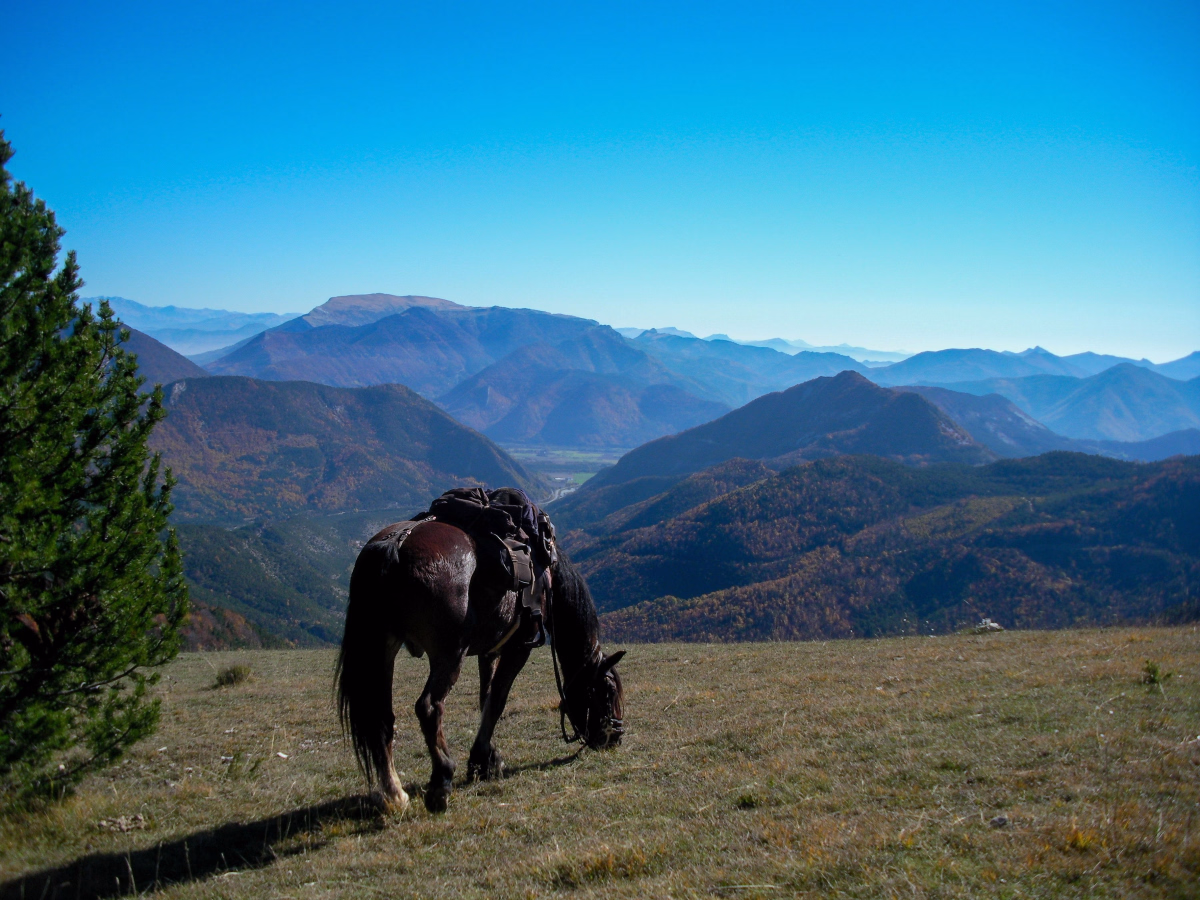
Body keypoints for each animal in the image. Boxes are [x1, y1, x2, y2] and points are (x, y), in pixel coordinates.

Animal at [335, 517, 625, 813]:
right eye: (608, 692)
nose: (615, 736)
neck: (547, 577)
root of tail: (397, 543)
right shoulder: (519, 648)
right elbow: (498, 700)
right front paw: (480, 759)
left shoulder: (490, 651)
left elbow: (485, 698)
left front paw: (486, 759)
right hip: (450, 653)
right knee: (429, 707)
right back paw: (441, 782)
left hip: (384, 650)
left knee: (381, 717)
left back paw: (395, 794)